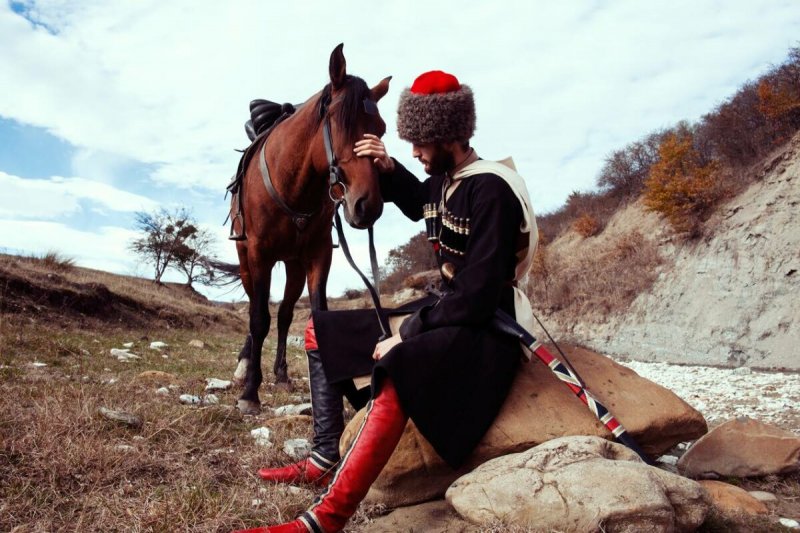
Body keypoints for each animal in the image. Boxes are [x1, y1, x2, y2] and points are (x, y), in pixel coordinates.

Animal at [228, 43, 390, 414]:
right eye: (341, 123)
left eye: (381, 128)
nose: (368, 206)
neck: (293, 184)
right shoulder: (259, 254)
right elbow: (258, 318)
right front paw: (250, 394)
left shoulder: (317, 256)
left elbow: (316, 316)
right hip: (247, 261)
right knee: (255, 311)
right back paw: (245, 368)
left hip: (293, 266)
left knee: (286, 314)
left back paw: (282, 374)